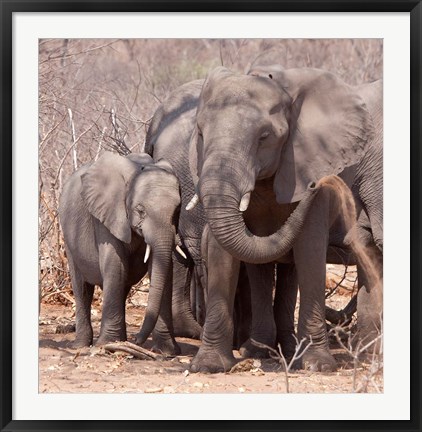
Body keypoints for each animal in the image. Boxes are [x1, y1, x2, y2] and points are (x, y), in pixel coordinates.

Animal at [59, 152, 183, 354]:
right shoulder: (107, 216)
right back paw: (81, 345)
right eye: (140, 210)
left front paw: (167, 352)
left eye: (177, 211)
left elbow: (163, 269)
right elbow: (115, 265)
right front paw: (107, 344)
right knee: (82, 288)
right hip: (69, 237)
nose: (137, 340)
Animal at [188, 66, 382, 372]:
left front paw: (318, 366)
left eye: (265, 136)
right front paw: (208, 366)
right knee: (263, 268)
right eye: (200, 133)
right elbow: (222, 253)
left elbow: (309, 248)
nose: (318, 184)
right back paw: (261, 351)